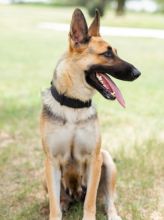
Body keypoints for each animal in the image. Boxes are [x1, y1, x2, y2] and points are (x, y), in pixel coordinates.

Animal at [40, 7, 141, 219]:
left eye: (115, 52)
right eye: (107, 54)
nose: (138, 73)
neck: (74, 106)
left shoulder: (95, 160)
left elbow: (90, 201)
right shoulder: (51, 161)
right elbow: (54, 205)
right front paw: (56, 211)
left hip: (108, 162)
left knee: (108, 200)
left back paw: (113, 214)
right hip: (43, 173)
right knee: (61, 199)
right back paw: (65, 203)